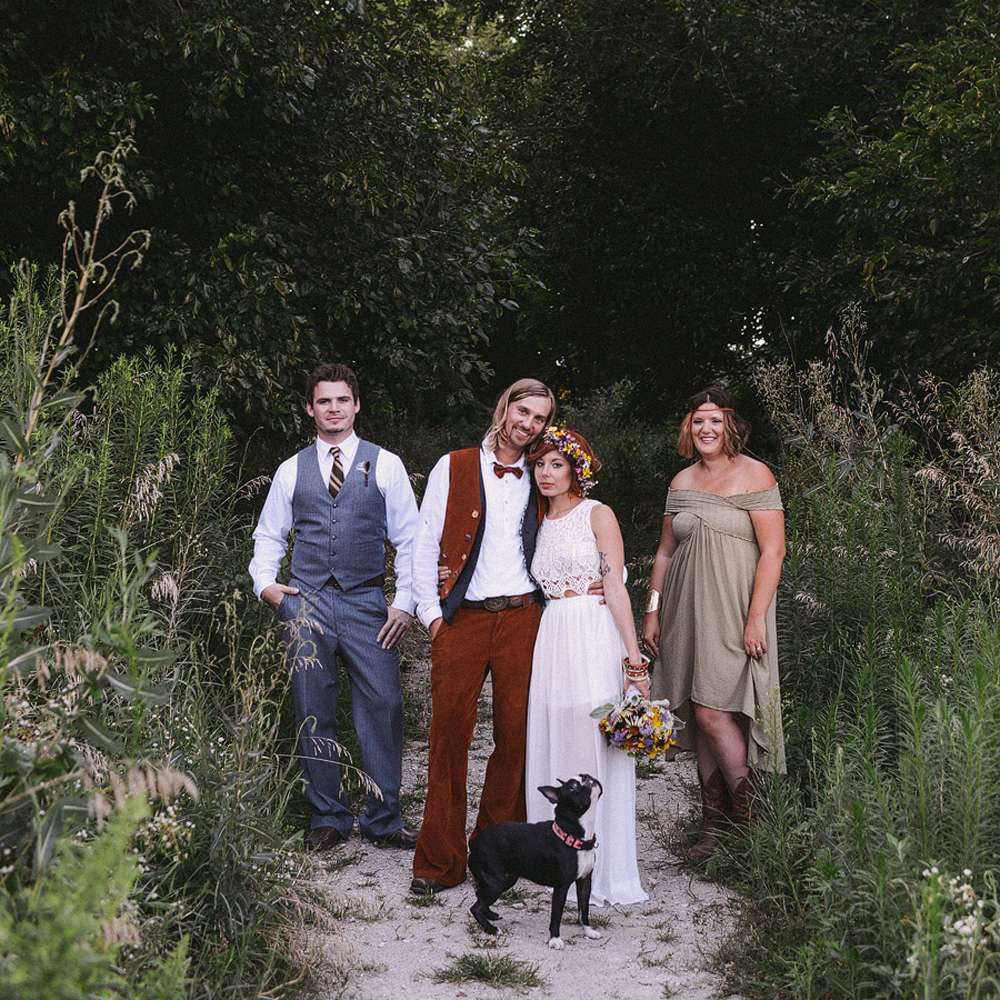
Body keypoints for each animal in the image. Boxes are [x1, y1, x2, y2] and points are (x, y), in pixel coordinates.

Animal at [468, 773, 603, 950]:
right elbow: (556, 915)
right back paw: (491, 929)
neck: (575, 836)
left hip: (506, 879)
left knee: (480, 896)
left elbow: (584, 909)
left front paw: (588, 931)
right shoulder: (561, 887)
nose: (587, 777)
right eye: (572, 787)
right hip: (496, 883)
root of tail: (474, 843)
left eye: (583, 775)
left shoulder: (585, 881)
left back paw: (490, 915)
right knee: (475, 907)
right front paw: (555, 939)